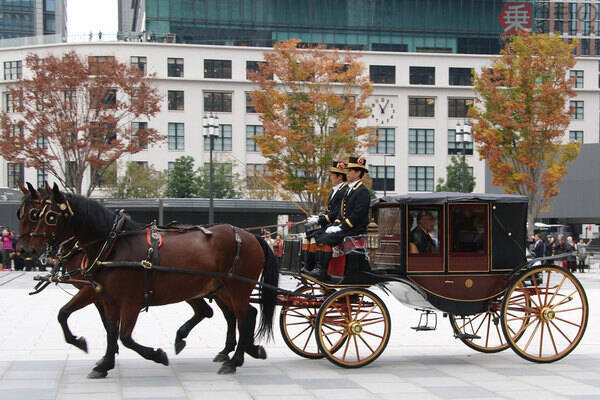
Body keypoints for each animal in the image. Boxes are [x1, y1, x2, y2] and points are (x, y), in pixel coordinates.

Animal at [22, 184, 276, 376]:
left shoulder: (129, 301)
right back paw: (237, 351)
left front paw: (157, 355)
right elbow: (106, 329)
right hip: (218, 287)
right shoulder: (107, 298)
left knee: (243, 318)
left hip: (237, 287)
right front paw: (104, 363)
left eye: (49, 216)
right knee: (235, 315)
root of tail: (250, 235)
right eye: (29, 214)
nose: (28, 249)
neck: (113, 245)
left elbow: (125, 336)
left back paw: (234, 359)